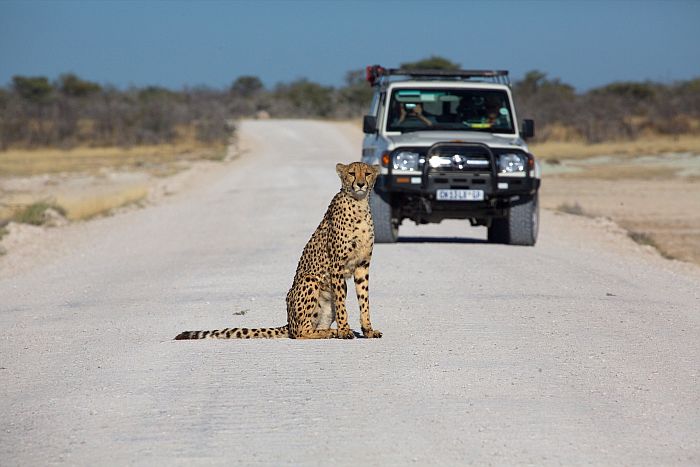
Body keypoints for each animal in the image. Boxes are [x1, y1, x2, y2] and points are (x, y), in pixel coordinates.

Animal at [174, 161, 382, 340]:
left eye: (367, 173)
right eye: (352, 173)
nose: (361, 184)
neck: (359, 204)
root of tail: (289, 322)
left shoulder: (362, 265)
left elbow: (364, 300)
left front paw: (368, 330)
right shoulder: (337, 266)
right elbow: (341, 304)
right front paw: (345, 330)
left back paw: (328, 331)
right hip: (310, 280)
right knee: (300, 332)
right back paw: (330, 332)